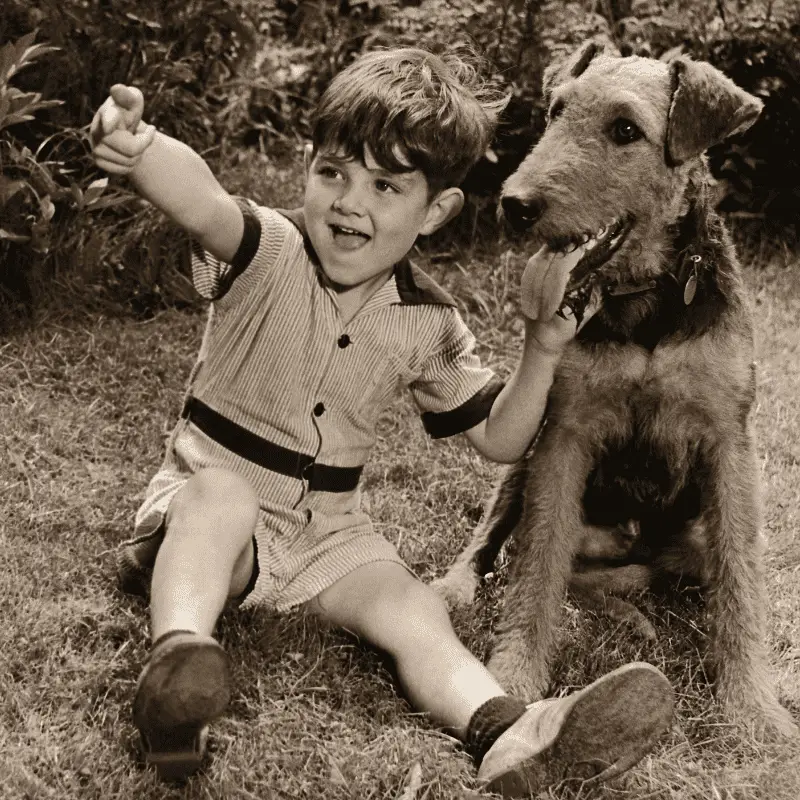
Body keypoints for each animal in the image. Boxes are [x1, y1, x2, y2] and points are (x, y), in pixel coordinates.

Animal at [434, 37, 796, 736]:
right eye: (555, 110)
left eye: (625, 129)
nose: (515, 204)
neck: (647, 296)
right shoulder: (564, 433)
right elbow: (537, 570)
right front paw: (515, 674)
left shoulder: (729, 442)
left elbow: (741, 584)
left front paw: (752, 705)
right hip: (525, 464)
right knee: (510, 548)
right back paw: (461, 589)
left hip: (688, 537)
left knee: (663, 578)